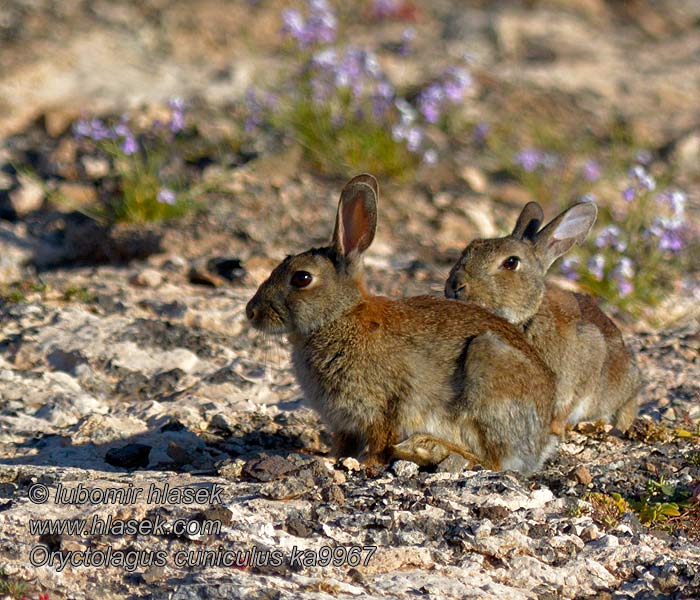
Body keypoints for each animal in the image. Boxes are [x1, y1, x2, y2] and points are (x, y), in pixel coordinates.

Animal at [246, 173, 556, 474]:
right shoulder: (344, 423)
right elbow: (343, 444)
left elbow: (380, 438)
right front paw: (326, 456)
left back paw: (428, 448)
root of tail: (539, 444)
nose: (251, 311)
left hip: (487, 366)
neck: (337, 317)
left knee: (493, 461)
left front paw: (364, 464)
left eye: (302, 278)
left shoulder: (385, 404)